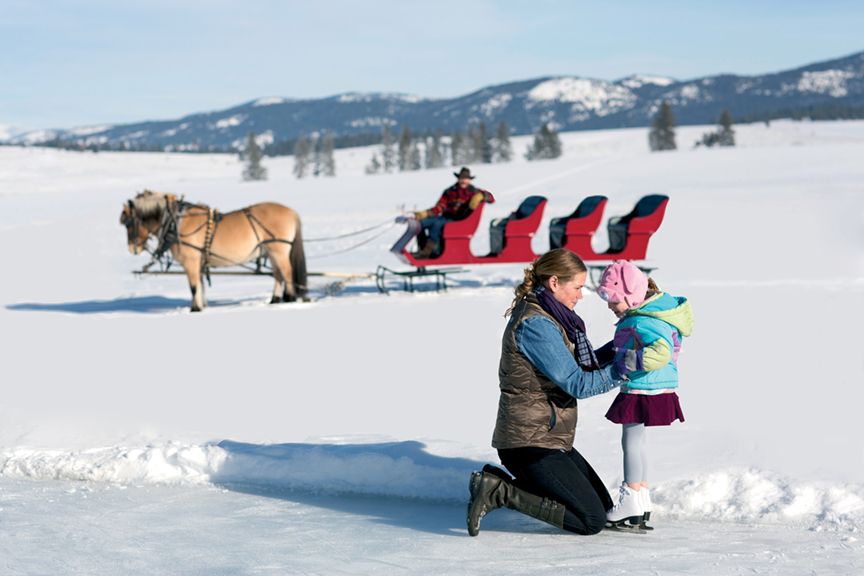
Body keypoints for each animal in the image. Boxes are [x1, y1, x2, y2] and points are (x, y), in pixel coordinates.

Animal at [121, 190, 308, 310]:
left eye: (128, 223)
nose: (132, 248)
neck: (175, 223)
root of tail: (291, 212)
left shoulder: (190, 261)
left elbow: (194, 287)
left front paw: (195, 309)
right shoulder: (199, 263)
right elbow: (200, 286)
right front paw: (201, 305)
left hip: (279, 250)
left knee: (287, 273)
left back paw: (289, 298)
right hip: (271, 253)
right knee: (278, 275)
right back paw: (275, 300)